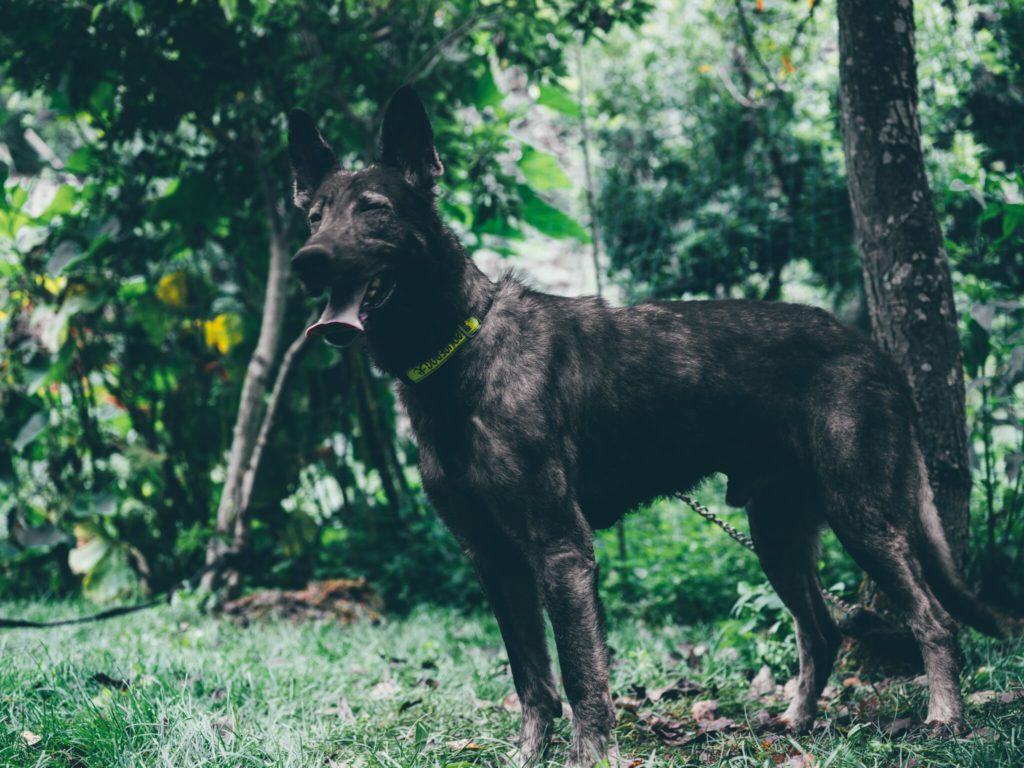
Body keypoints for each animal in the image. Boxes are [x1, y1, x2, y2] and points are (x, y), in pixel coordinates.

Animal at [284, 88, 1003, 765]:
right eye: (314, 215)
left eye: (374, 208)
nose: (305, 260)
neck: (461, 351)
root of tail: (873, 350)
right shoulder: (494, 561)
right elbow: (531, 681)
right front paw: (529, 755)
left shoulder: (562, 550)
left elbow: (582, 678)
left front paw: (589, 756)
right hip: (777, 533)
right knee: (822, 632)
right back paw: (796, 722)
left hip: (860, 517)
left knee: (934, 620)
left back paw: (945, 717)